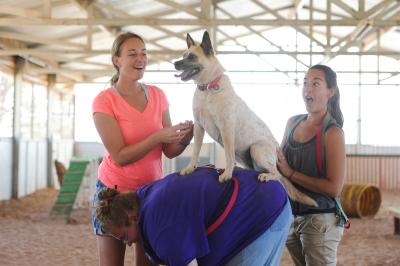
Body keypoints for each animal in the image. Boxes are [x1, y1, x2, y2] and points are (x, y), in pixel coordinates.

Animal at [173, 30, 318, 207]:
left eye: (192, 57)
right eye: (183, 55)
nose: (175, 63)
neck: (207, 88)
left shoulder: (226, 128)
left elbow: (229, 156)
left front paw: (227, 174)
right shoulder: (199, 127)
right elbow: (195, 151)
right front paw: (190, 168)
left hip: (257, 149)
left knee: (277, 175)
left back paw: (266, 176)